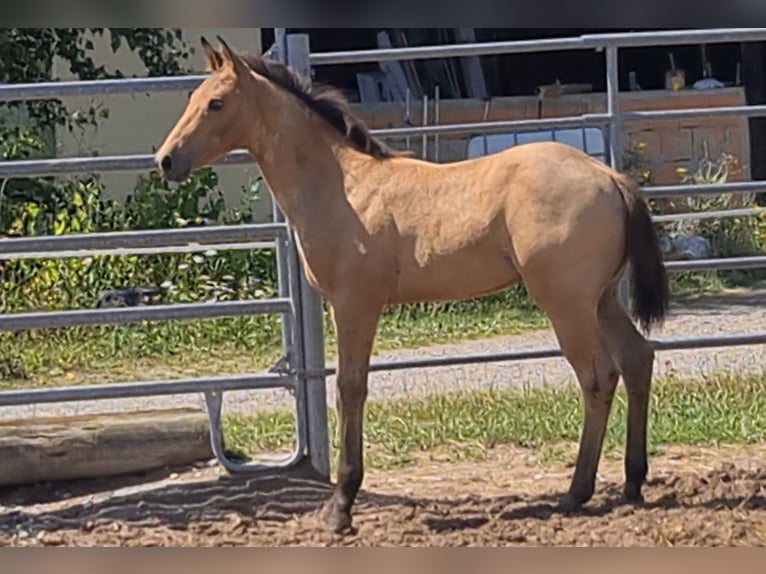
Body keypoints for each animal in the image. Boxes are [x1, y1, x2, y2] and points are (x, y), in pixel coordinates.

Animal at [154, 36, 669, 533]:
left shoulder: (354, 304)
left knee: (599, 377)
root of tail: (610, 176)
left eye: (216, 103)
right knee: (637, 359)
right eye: (193, 97)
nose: (166, 160)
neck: (342, 187)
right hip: (601, 301)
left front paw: (340, 507)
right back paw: (632, 482)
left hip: (568, 306)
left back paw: (576, 492)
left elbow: (350, 388)